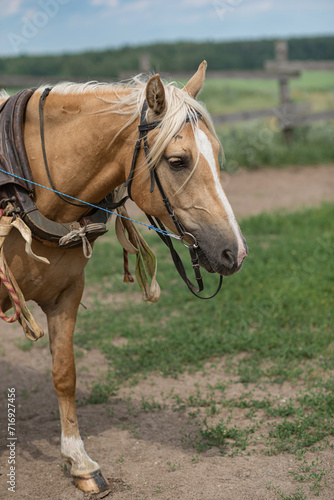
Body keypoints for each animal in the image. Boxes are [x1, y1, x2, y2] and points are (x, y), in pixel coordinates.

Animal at [0, 61, 245, 492]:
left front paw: (79, 461)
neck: (25, 186)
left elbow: (64, 373)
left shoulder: (65, 294)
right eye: (177, 160)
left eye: (216, 154)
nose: (234, 251)